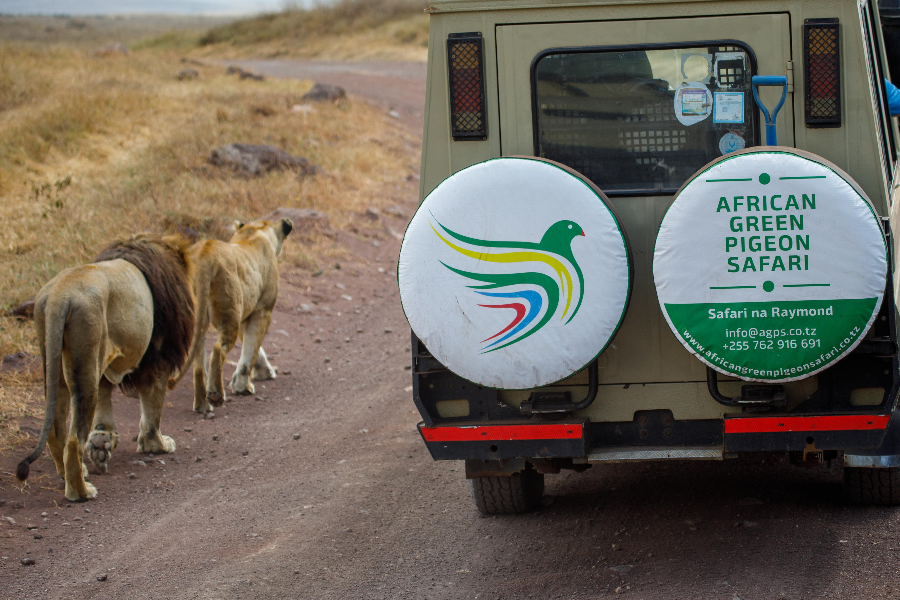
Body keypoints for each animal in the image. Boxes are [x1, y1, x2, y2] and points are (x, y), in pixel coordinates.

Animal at [15, 234, 193, 502]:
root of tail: (59, 295)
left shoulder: (108, 358)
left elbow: (106, 400)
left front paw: (102, 439)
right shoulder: (159, 355)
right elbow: (153, 407)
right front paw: (157, 445)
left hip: (56, 362)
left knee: (56, 430)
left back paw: (74, 472)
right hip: (86, 357)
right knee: (73, 440)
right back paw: (81, 491)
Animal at [169, 218, 292, 414]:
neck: (255, 231)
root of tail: (205, 255)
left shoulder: (245, 313)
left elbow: (253, 348)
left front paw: (263, 372)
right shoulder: (262, 311)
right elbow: (251, 349)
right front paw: (243, 386)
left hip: (200, 319)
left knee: (198, 364)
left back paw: (203, 405)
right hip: (229, 314)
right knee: (218, 349)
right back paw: (215, 394)